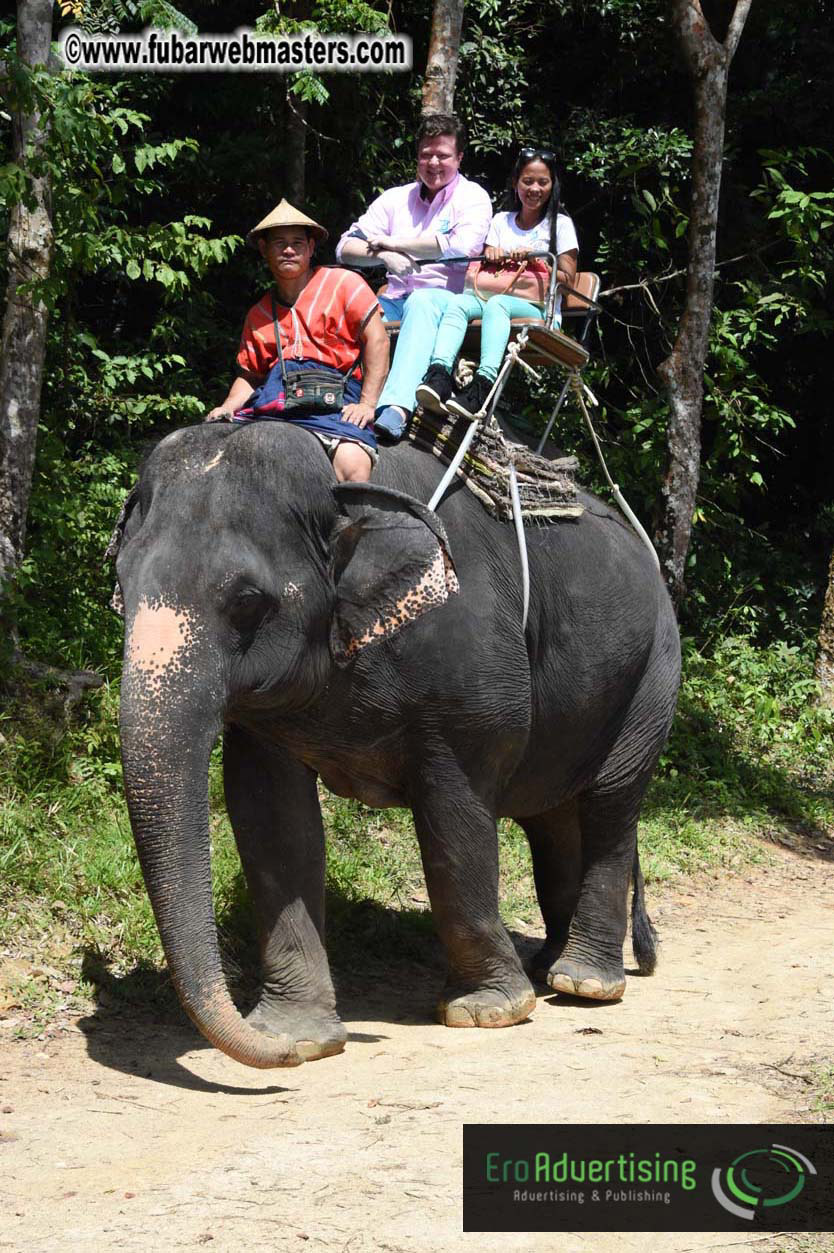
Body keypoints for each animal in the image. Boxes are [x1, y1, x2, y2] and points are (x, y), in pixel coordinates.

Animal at [112, 419, 680, 1070]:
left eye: (248, 602)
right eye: (120, 587)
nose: (274, 1056)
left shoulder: (471, 678)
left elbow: (454, 819)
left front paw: (487, 1011)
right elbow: (271, 818)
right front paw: (297, 1037)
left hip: (652, 677)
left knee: (610, 803)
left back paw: (584, 984)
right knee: (554, 818)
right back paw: (549, 967)